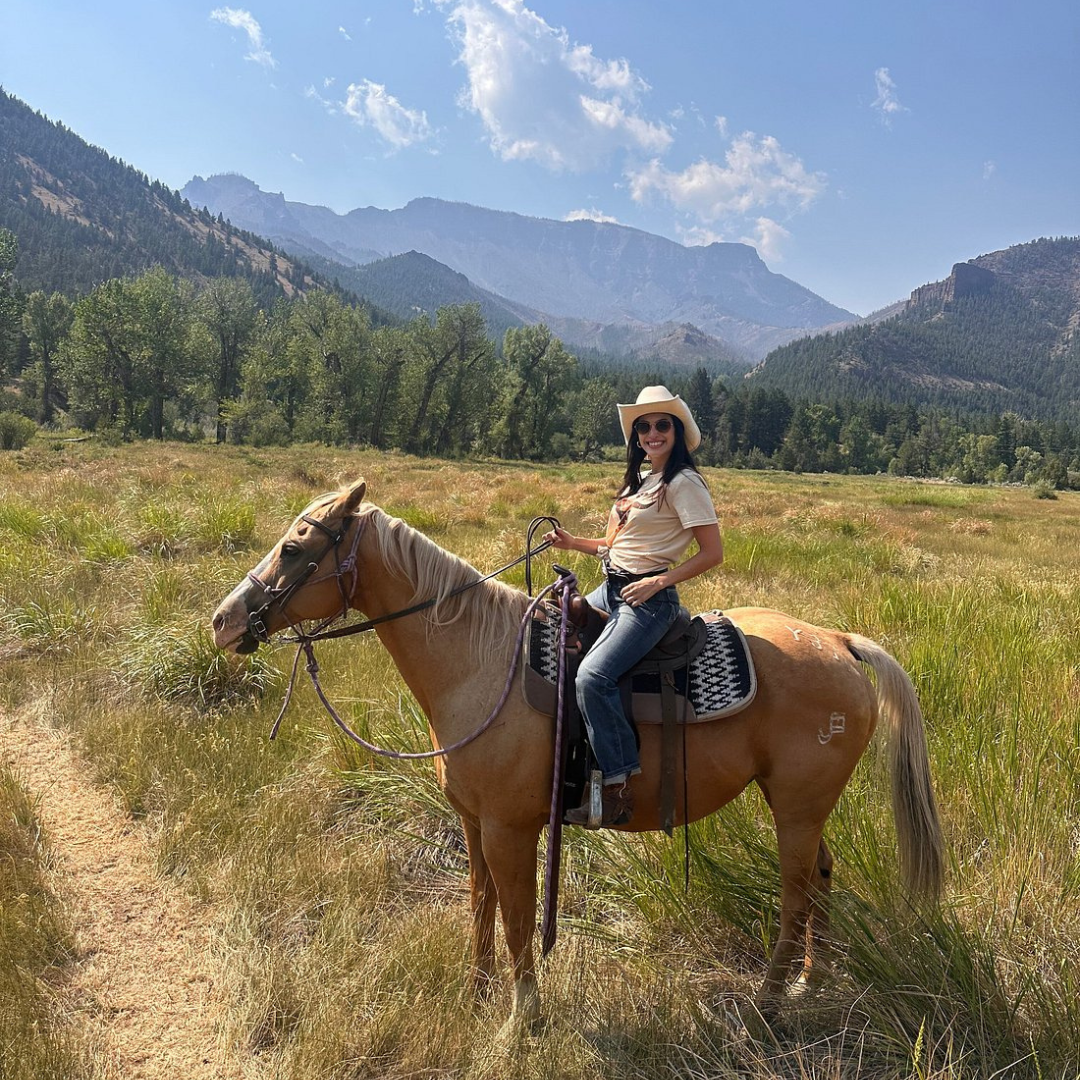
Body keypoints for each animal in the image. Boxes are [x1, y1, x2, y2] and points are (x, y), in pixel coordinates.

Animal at [212, 479, 946, 1028]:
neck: (481, 663)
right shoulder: (473, 822)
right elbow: (479, 906)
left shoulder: (510, 828)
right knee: (821, 878)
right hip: (807, 808)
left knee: (796, 894)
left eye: (294, 547)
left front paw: (521, 1018)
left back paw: (769, 997)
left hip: (795, 806)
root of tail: (839, 642)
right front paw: (477, 997)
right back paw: (808, 983)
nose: (223, 621)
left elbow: (516, 919)